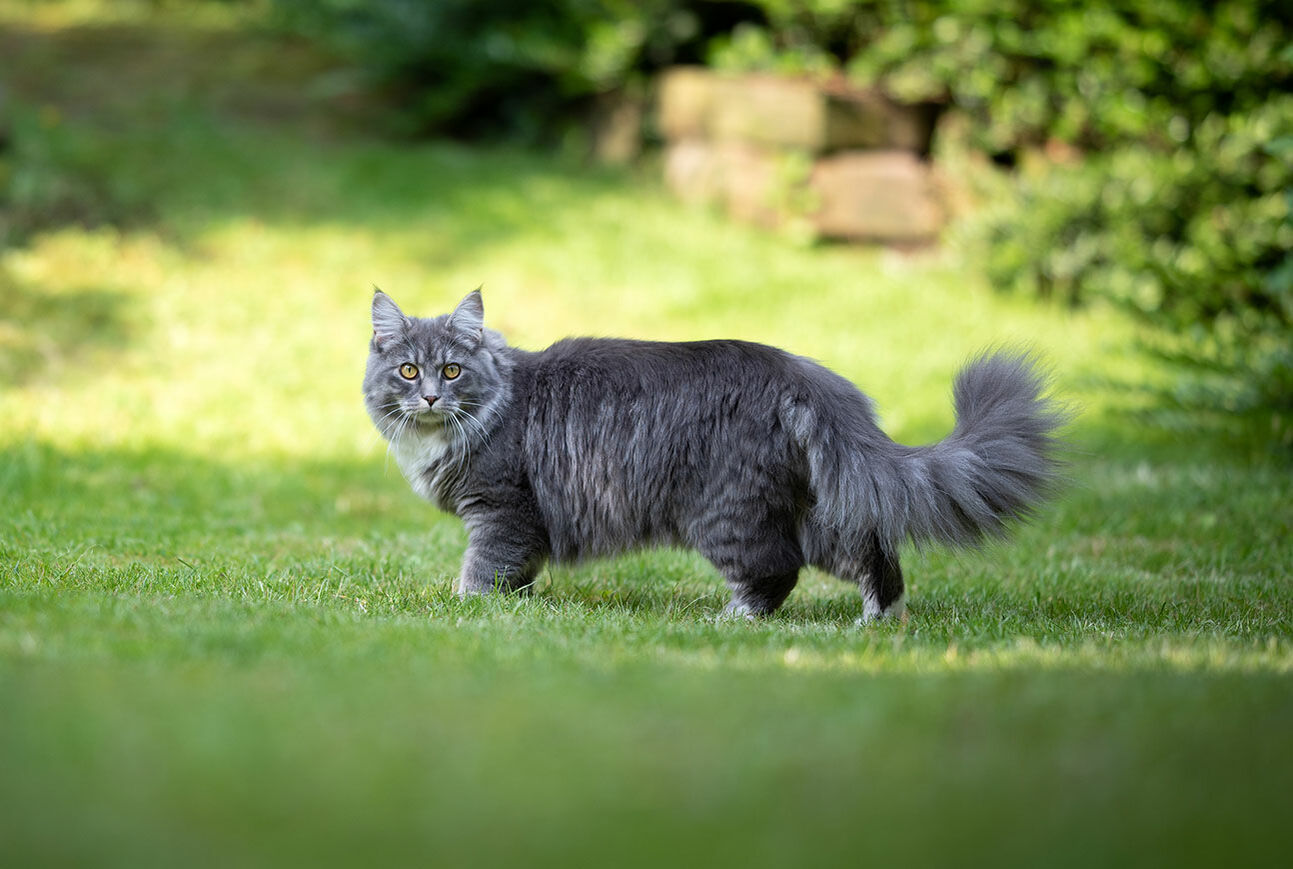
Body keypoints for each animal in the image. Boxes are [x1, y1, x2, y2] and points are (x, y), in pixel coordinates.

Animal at [362, 288, 1060, 620]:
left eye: (452, 371)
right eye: (407, 371)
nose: (429, 396)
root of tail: (798, 373)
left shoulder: (501, 510)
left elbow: (483, 570)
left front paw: (466, 609)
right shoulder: (519, 524)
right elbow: (517, 576)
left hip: (726, 512)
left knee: (776, 571)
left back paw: (730, 622)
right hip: (809, 508)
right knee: (871, 553)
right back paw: (878, 624)